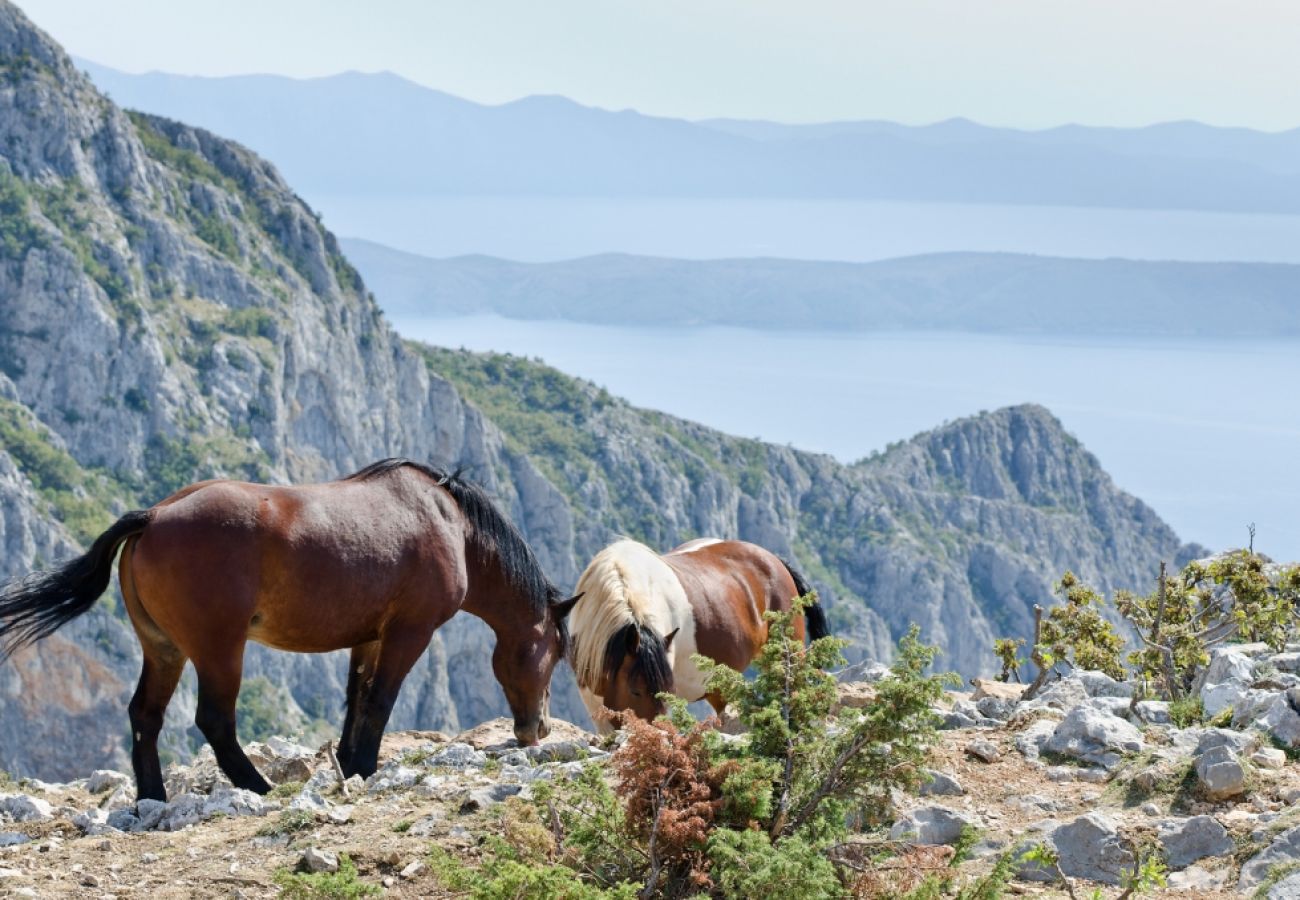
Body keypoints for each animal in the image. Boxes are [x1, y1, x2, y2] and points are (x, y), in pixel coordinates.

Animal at [0, 460, 574, 795]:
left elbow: (356, 699)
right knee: (214, 720)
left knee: (146, 715)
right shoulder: (409, 633)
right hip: (218, 650)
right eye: (553, 654)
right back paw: (258, 788)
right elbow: (381, 699)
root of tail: (155, 517)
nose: (537, 730)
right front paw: (366, 767)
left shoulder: (368, 636)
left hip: (163, 649)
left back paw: (153, 798)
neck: (448, 521)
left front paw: (350, 764)